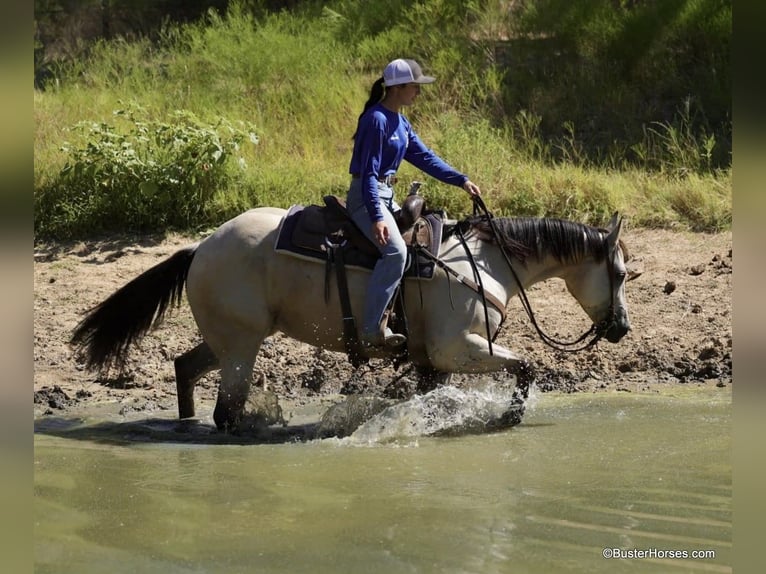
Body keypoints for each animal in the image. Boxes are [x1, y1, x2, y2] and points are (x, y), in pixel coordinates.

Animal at [71, 206, 633, 431]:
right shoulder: (459, 347)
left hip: (227, 340)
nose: (622, 328)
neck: (481, 259)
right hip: (241, 347)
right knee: (226, 410)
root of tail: (199, 248)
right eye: (622, 272)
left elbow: (427, 395)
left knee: (185, 368)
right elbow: (525, 367)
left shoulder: (434, 361)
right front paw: (509, 416)